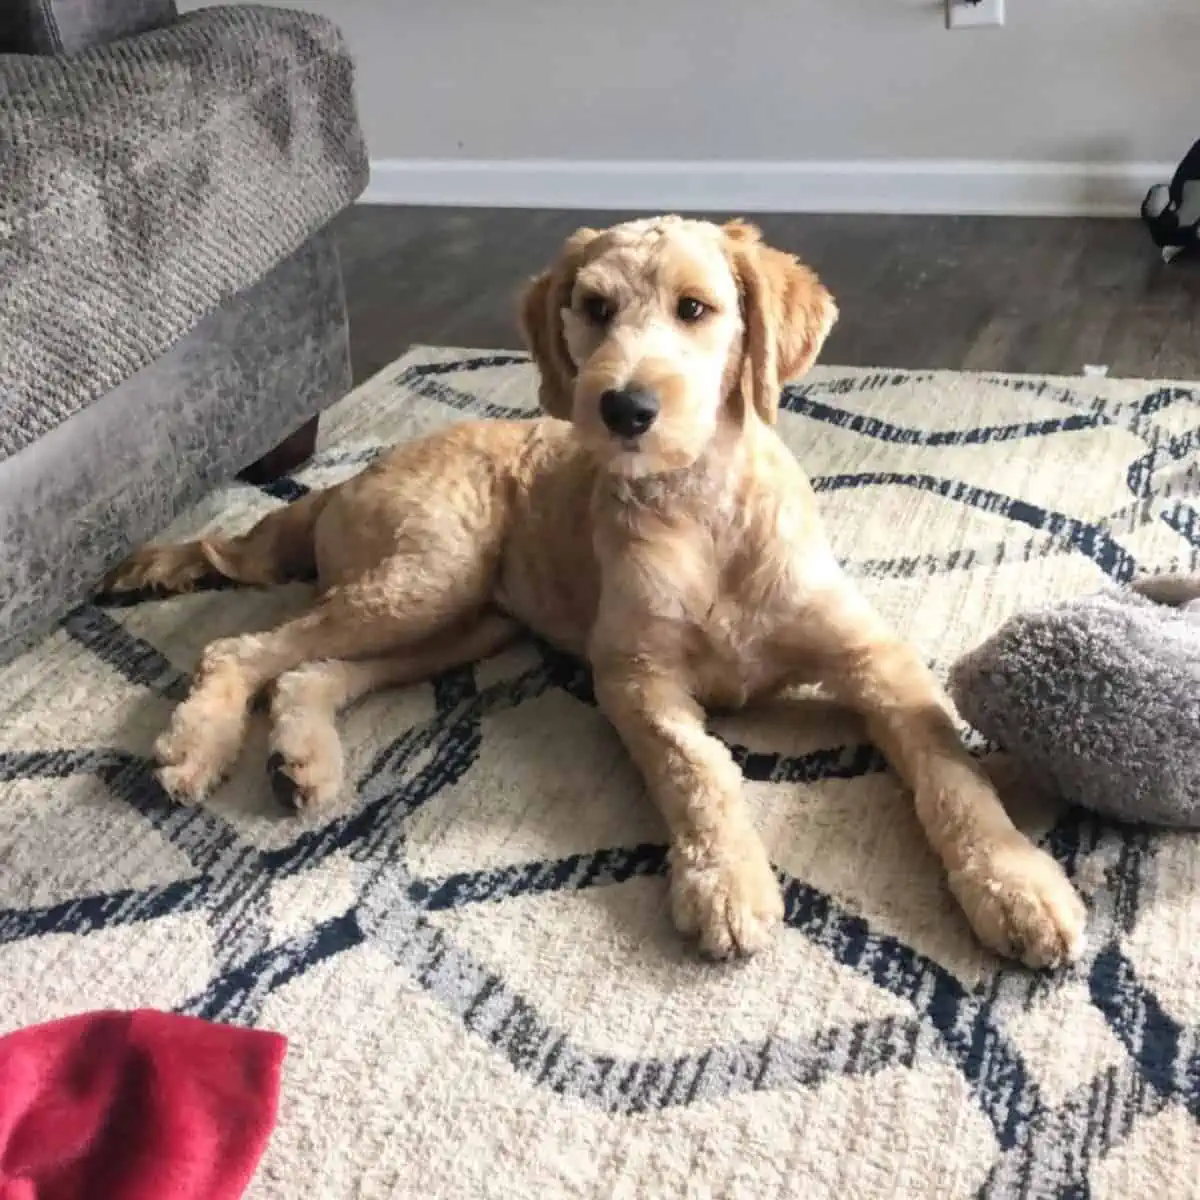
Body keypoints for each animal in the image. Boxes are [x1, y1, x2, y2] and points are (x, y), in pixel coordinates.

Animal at [105, 213, 1089, 964]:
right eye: (595, 308)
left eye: (696, 308)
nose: (624, 409)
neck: (704, 509)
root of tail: (346, 478)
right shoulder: (635, 675)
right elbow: (697, 766)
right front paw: (725, 880)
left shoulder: (874, 655)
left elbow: (948, 764)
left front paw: (1017, 884)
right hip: (429, 576)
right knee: (242, 646)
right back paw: (198, 744)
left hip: (465, 621)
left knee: (310, 671)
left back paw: (301, 759)